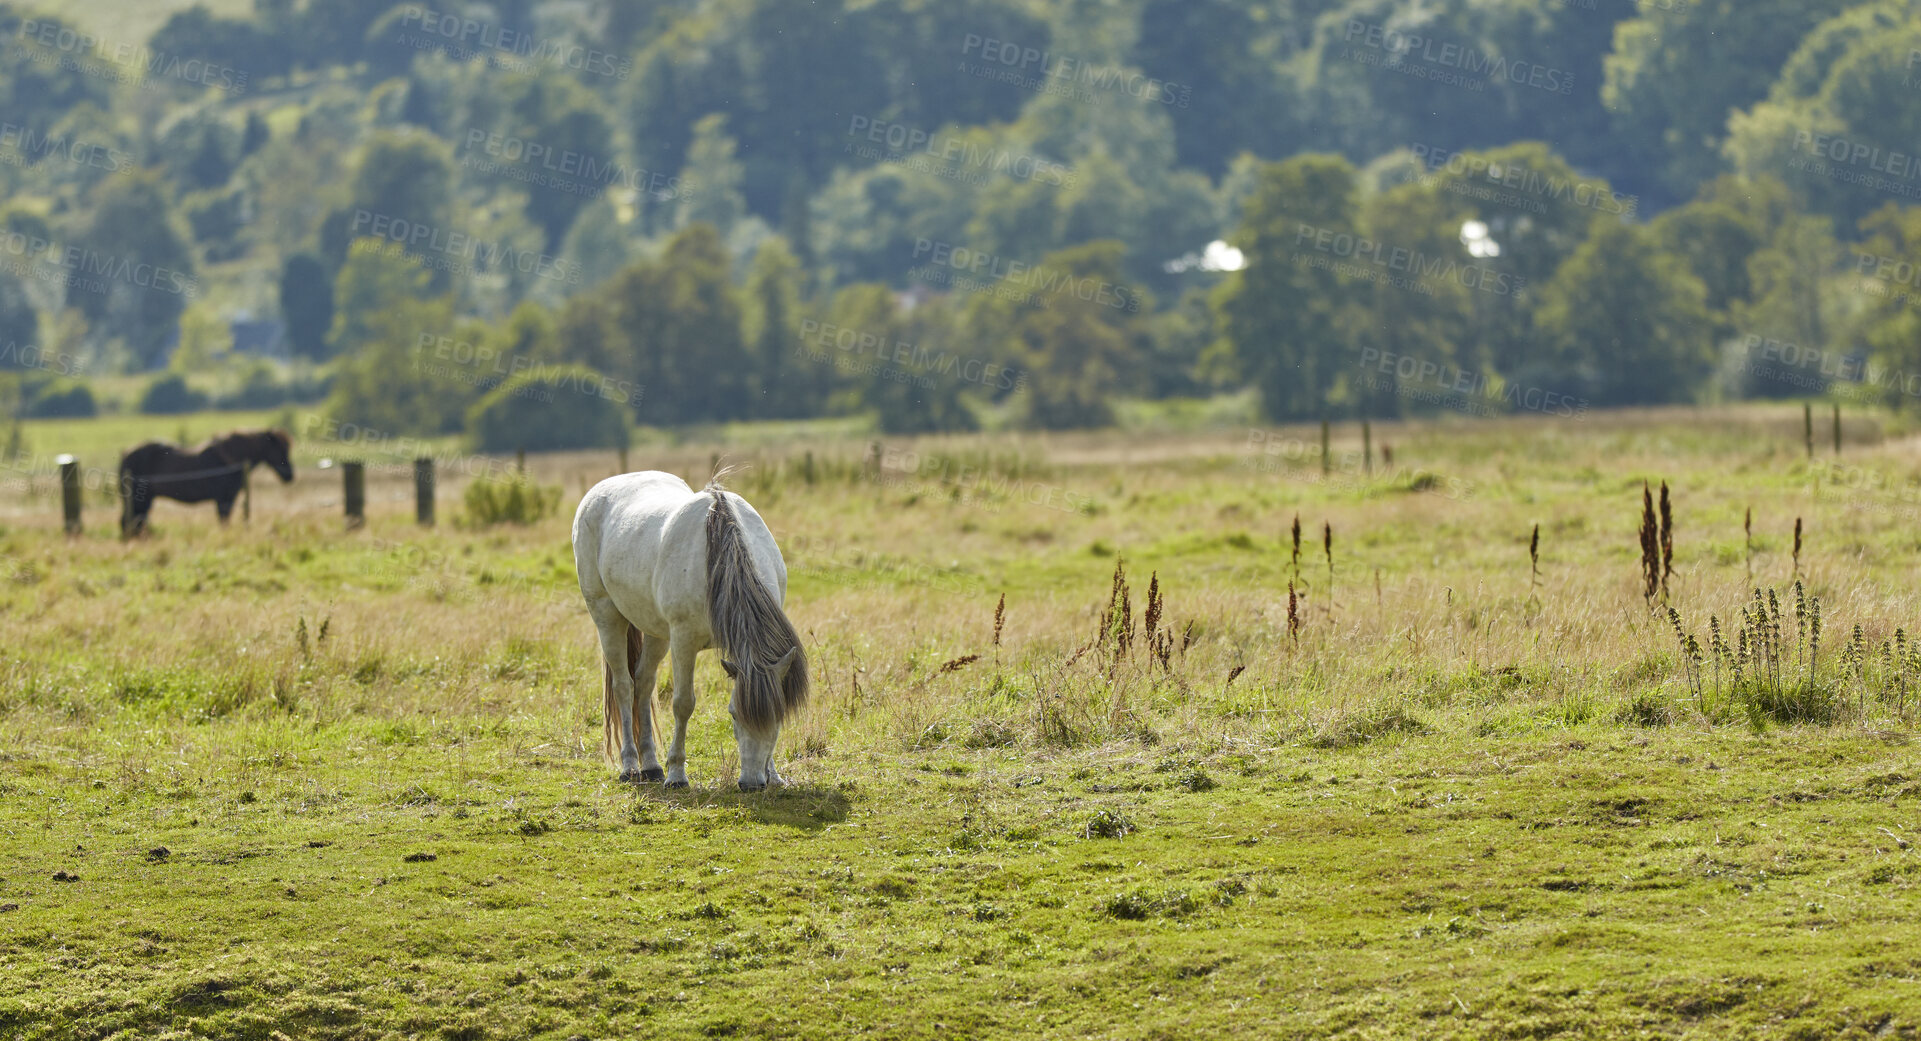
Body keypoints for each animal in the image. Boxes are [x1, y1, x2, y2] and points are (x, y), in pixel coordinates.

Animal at [118, 428, 291, 537]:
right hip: (138, 500)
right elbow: (224, 520)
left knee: (136, 521)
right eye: (279, 450)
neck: (229, 460)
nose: (290, 475)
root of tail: (126, 453)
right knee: (129, 521)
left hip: (145, 500)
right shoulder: (224, 499)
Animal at [568, 472, 810, 791]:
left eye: (779, 716)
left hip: (656, 632)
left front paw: (775, 775)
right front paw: (677, 774)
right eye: (733, 714)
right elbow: (683, 704)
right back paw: (630, 766)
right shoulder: (684, 641)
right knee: (624, 686)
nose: (751, 783)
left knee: (643, 683)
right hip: (607, 617)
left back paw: (651, 766)